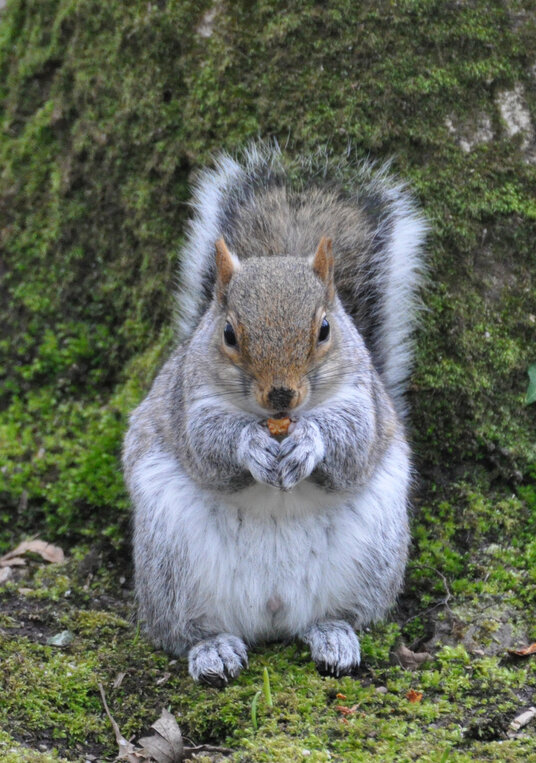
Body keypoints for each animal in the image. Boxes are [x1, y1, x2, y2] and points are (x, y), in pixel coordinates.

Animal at [122, 142, 426, 686]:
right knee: (185, 629)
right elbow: (209, 447)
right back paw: (213, 650)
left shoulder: (363, 400)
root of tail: (272, 612)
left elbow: (351, 445)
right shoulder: (189, 402)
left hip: (373, 558)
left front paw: (310, 442)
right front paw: (250, 445)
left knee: (338, 616)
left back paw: (334, 638)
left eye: (324, 329)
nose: (281, 395)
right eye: (228, 334)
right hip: (171, 565)